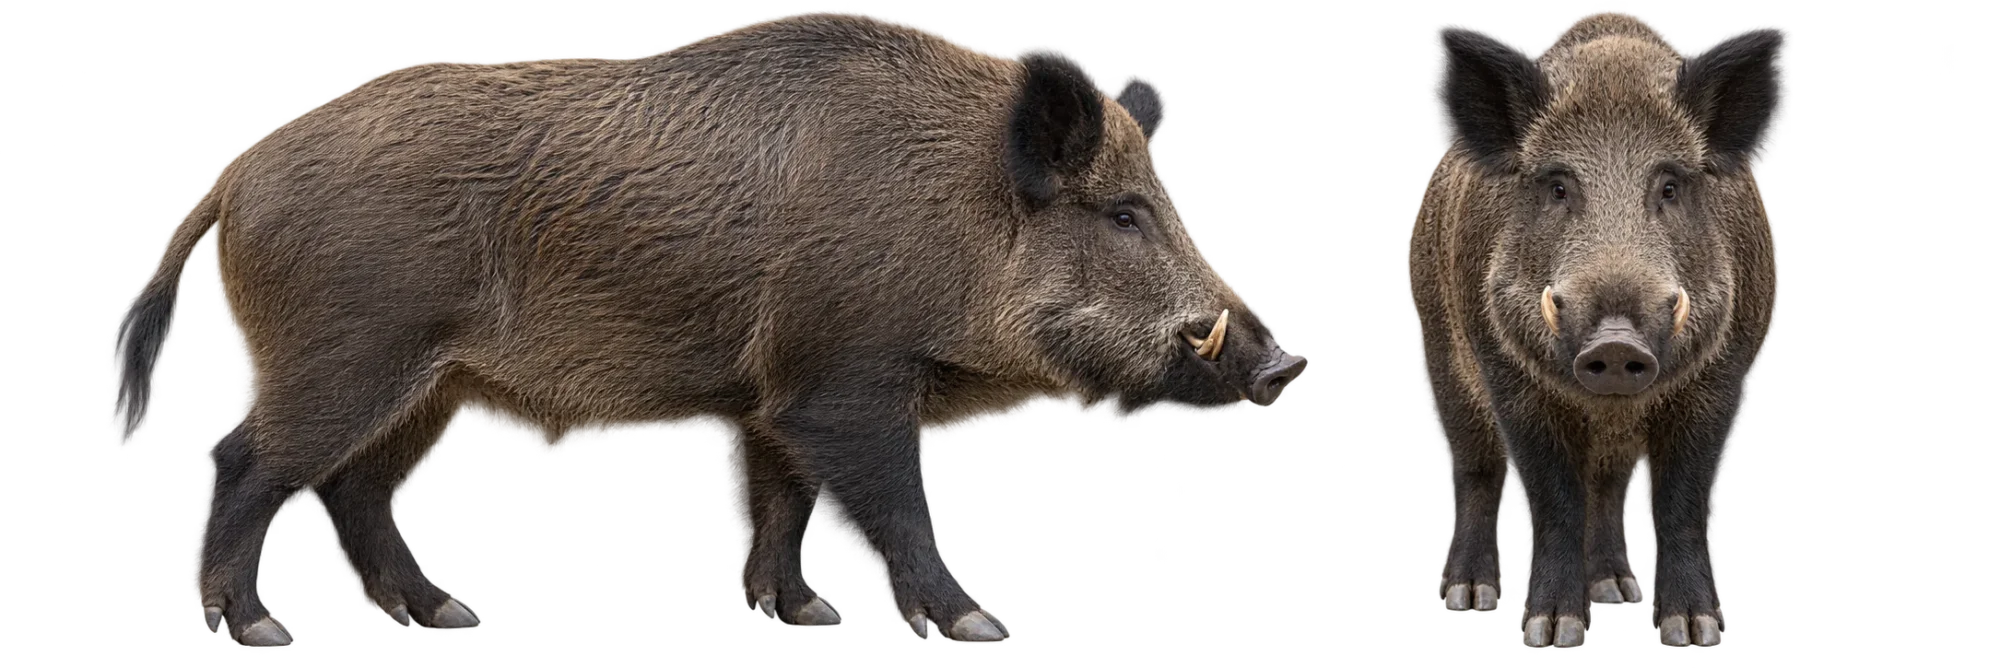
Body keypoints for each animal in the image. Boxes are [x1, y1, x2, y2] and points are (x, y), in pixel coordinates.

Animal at [107, 9, 1309, 650]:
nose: (1288, 361)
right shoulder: (840, 381)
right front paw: (978, 625)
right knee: (243, 460)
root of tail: (234, 175)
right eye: (1122, 211)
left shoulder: (769, 402)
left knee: (353, 490)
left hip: (428, 386)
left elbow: (777, 508)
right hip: (339, 355)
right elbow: (887, 507)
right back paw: (257, 626)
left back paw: (449, 613)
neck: (951, 211)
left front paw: (803, 615)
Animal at [1407, 9, 1787, 651]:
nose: (1614, 339)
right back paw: (1468, 598)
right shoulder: (1508, 377)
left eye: (1669, 186)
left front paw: (1693, 632)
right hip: (1439, 354)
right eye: (1559, 186)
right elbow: (1553, 496)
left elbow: (1681, 497)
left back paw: (1616, 591)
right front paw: (1553, 633)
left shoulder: (1726, 377)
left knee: (1606, 485)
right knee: (1476, 471)